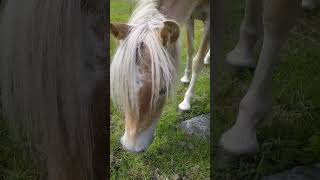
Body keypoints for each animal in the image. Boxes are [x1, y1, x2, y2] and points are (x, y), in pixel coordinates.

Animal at [110, 0, 210, 153]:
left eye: (163, 90)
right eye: (125, 85)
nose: (132, 147)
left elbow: (197, 60)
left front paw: (186, 101)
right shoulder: (189, 17)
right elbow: (190, 49)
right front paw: (186, 76)